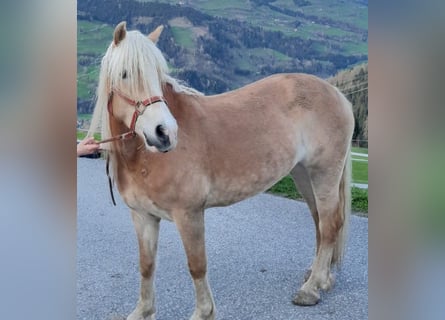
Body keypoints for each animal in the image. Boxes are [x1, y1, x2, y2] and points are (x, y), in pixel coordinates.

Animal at [87, 21, 354, 320]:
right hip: (303, 174)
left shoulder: (189, 214)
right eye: (124, 74)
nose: (165, 133)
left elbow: (196, 265)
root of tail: (337, 94)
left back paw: (311, 288)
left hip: (324, 173)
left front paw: (204, 312)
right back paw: (320, 278)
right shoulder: (142, 216)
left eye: (158, 75)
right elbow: (146, 265)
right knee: (320, 221)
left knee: (329, 224)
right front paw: (143, 311)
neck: (143, 158)